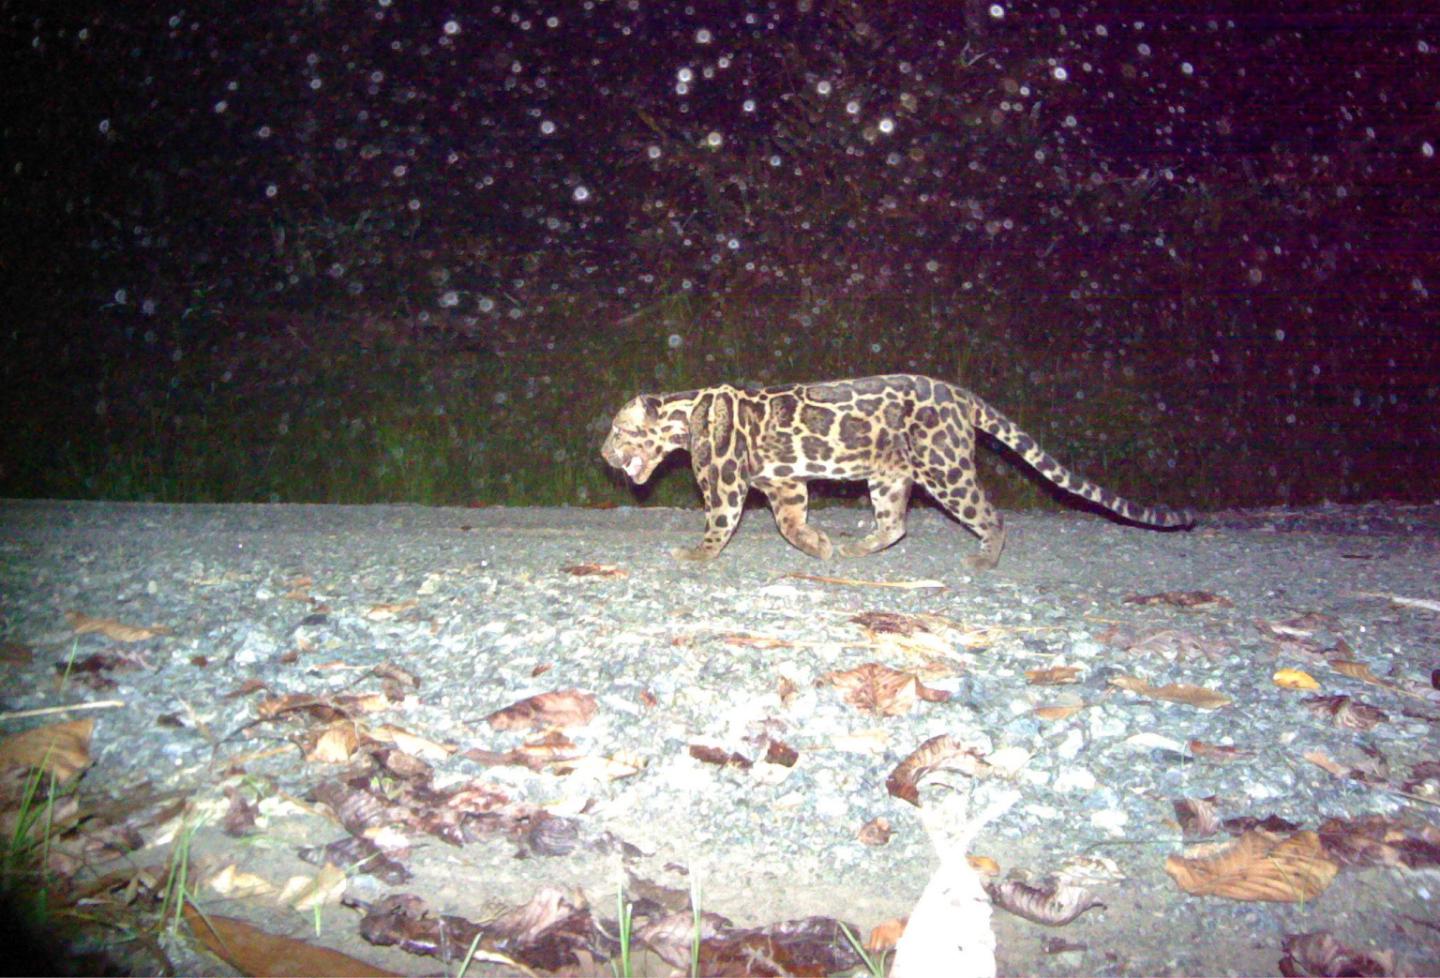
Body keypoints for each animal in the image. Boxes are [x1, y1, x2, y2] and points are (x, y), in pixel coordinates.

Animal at [601, 374, 1195, 567]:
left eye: (617, 431)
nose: (604, 455)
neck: (682, 414)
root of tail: (962, 394)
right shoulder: (785, 482)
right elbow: (790, 523)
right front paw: (817, 545)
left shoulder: (723, 482)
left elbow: (720, 524)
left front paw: (695, 555)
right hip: (887, 476)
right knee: (895, 524)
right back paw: (856, 547)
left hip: (944, 468)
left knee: (991, 514)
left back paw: (986, 558)